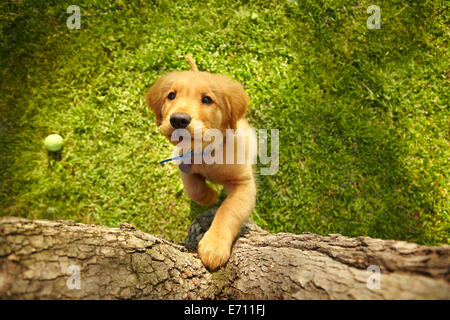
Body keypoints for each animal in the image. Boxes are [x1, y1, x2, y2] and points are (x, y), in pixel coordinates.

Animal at [148, 55, 256, 270]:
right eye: (171, 95)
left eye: (207, 99)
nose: (178, 119)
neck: (206, 152)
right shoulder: (184, 164)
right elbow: (194, 189)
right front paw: (210, 196)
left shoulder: (244, 184)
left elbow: (228, 210)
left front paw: (214, 246)